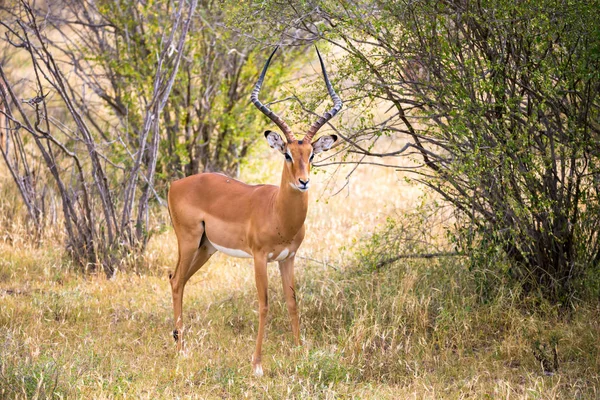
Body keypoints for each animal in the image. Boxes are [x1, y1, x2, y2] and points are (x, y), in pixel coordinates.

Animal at [168, 46, 342, 376]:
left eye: (311, 155)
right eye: (287, 154)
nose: (303, 181)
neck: (278, 214)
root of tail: (175, 184)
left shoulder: (288, 258)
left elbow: (292, 302)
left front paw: (300, 353)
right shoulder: (260, 258)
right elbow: (264, 304)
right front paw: (257, 365)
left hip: (206, 247)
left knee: (179, 279)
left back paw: (179, 342)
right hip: (188, 240)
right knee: (174, 280)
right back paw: (181, 350)